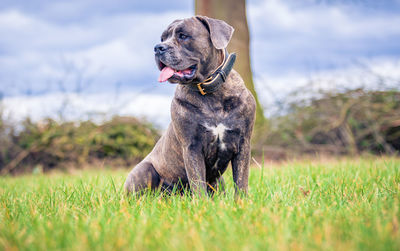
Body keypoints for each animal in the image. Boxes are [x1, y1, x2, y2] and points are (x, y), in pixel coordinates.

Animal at [124, 15, 256, 197]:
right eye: (163, 38)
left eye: (183, 36)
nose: (158, 48)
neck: (209, 92)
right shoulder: (192, 148)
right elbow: (197, 182)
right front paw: (201, 202)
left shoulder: (243, 144)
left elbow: (241, 181)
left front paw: (241, 202)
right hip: (143, 170)